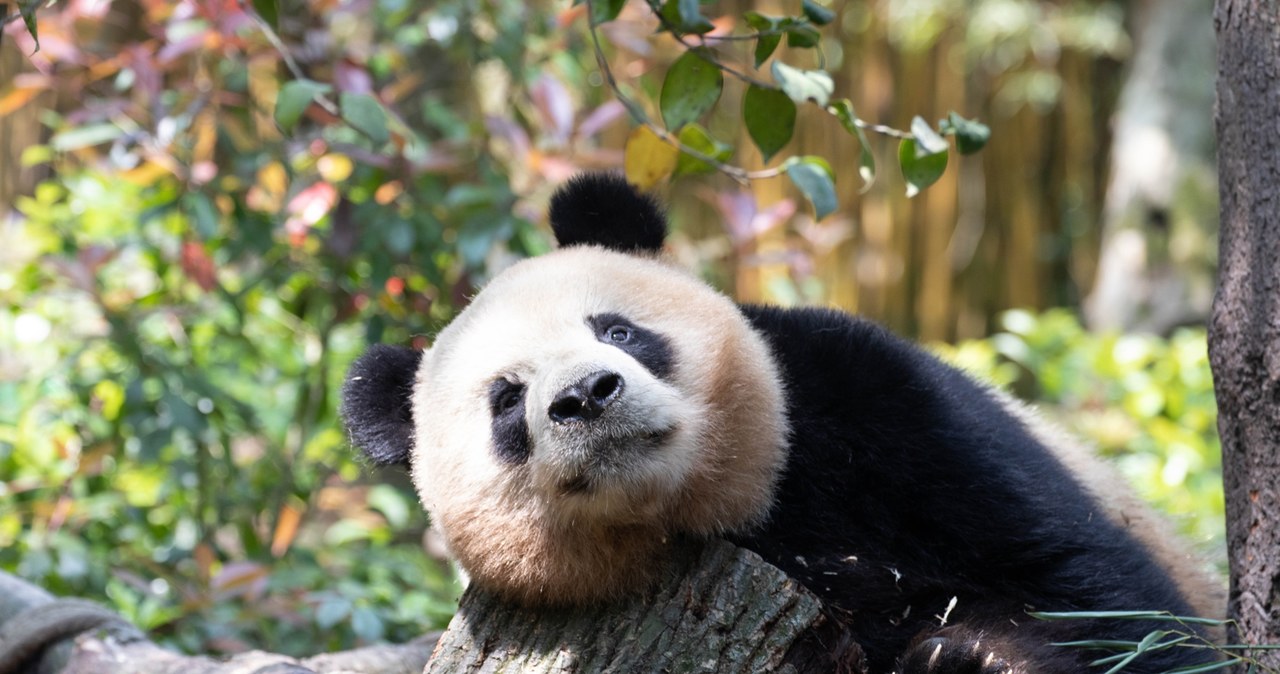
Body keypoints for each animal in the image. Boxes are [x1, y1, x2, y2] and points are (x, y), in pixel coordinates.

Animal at [341, 174, 1220, 673]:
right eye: (505, 401)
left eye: (617, 330)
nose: (587, 396)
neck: (740, 515)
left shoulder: (867, 400)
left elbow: (1079, 576)